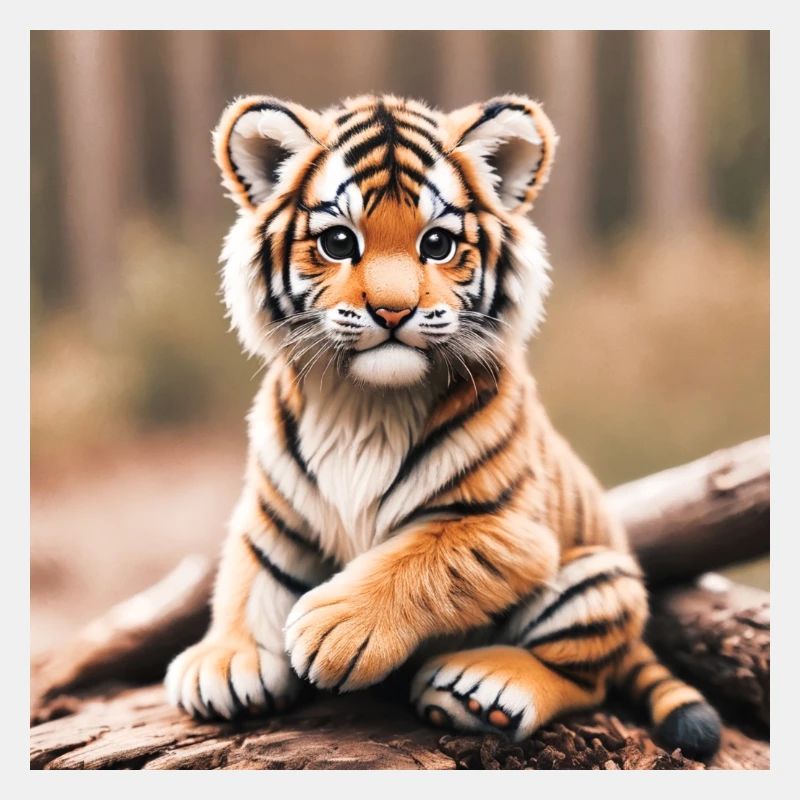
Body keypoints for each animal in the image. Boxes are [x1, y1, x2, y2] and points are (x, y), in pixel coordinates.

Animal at [164, 92, 721, 760]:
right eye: (338, 242)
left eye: (437, 244)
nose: (393, 311)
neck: (364, 404)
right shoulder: (274, 513)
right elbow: (248, 576)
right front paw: (226, 661)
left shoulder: (504, 526)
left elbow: (421, 560)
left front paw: (336, 627)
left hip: (599, 578)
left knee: (586, 677)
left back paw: (481, 688)